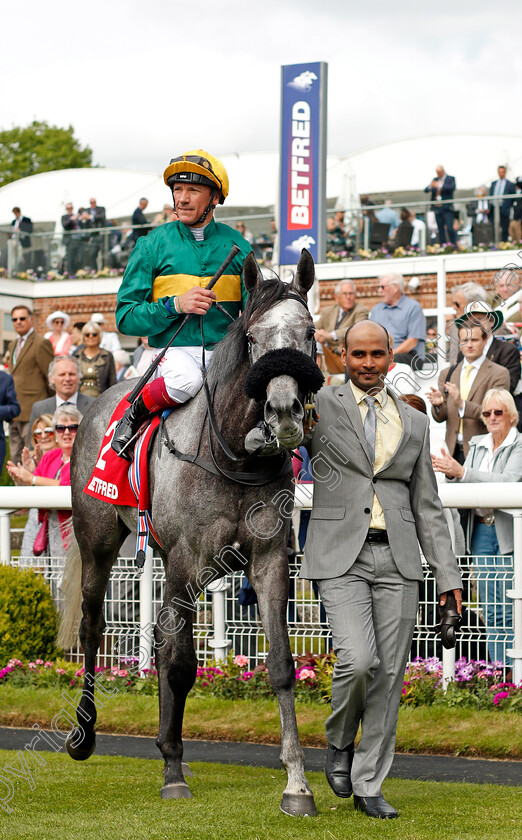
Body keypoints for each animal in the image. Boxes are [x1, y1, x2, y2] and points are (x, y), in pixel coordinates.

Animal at [60, 248, 320, 812]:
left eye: (309, 333)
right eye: (253, 337)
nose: (284, 412)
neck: (233, 455)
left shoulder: (269, 559)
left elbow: (281, 665)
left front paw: (297, 784)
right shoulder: (184, 559)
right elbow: (180, 664)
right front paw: (173, 773)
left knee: (160, 634)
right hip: (99, 541)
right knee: (93, 627)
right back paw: (85, 735)